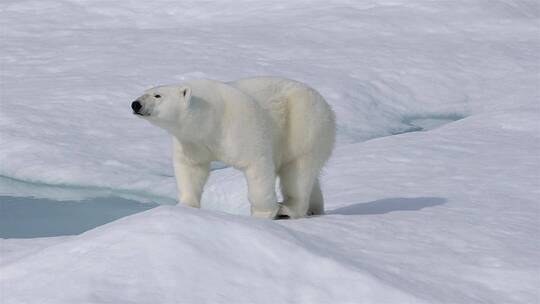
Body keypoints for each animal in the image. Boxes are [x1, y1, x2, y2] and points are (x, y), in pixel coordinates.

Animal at [133, 76, 336, 218]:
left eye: (157, 95)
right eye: (145, 92)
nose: (135, 104)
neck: (210, 119)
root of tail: (328, 109)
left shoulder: (239, 126)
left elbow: (257, 165)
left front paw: (263, 213)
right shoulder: (192, 142)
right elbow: (191, 168)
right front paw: (185, 205)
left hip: (303, 125)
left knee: (298, 172)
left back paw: (288, 209)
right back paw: (315, 208)